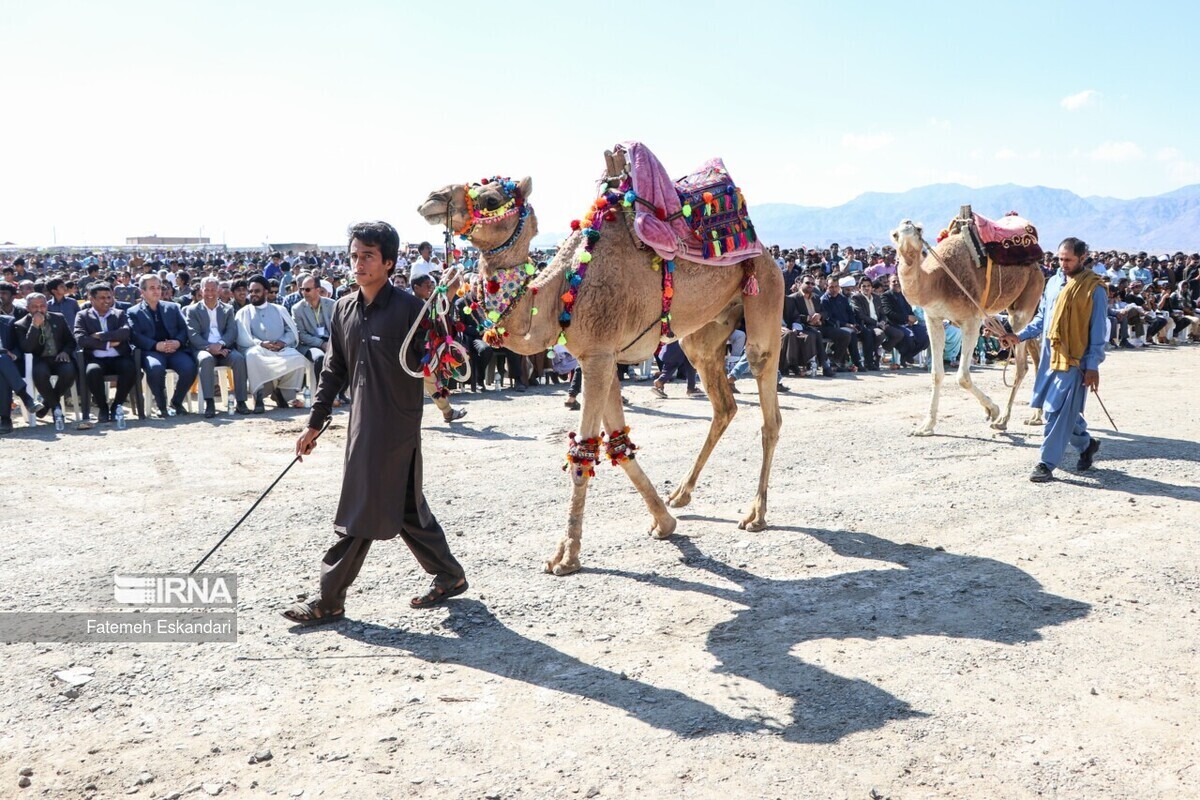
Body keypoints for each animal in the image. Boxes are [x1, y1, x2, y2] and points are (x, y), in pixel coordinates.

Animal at [417, 158, 782, 582]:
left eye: (491, 199)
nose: (432, 197)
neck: (560, 290)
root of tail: (767, 251)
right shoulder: (602, 357)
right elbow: (619, 445)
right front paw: (664, 523)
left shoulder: (598, 356)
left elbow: (584, 452)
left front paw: (566, 557)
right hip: (703, 336)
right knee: (723, 403)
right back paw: (681, 494)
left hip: (765, 295)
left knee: (768, 406)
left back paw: (755, 514)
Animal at [888, 215, 1046, 434]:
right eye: (896, 234)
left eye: (918, 230)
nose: (907, 224)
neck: (938, 280)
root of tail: (1038, 267)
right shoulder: (933, 319)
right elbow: (936, 373)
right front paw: (926, 426)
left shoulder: (971, 320)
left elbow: (962, 376)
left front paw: (993, 410)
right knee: (1036, 353)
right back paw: (1035, 416)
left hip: (1027, 301)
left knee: (1022, 364)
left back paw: (1003, 420)